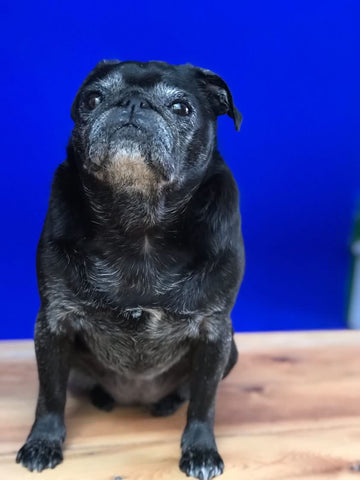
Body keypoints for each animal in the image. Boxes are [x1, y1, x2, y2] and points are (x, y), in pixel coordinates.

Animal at [16, 61, 245, 480]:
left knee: (189, 392)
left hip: (231, 351)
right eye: (92, 99)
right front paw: (43, 441)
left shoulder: (214, 333)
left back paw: (165, 403)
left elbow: (204, 402)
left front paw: (201, 449)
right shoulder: (53, 325)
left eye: (181, 107)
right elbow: (50, 395)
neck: (139, 223)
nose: (132, 103)